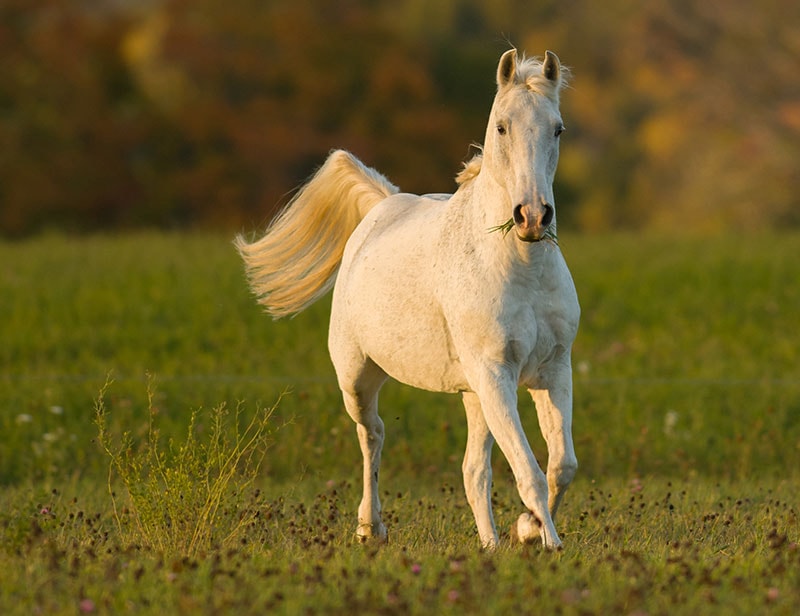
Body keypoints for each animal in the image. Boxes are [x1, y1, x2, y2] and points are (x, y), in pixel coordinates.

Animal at [234, 49, 580, 548]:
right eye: (501, 126)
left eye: (558, 129)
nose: (532, 216)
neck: (521, 268)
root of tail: (382, 205)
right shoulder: (496, 373)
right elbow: (529, 472)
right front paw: (547, 541)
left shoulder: (551, 369)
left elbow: (561, 467)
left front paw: (527, 529)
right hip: (358, 377)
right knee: (372, 435)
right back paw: (370, 528)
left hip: (474, 392)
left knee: (474, 471)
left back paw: (490, 543)